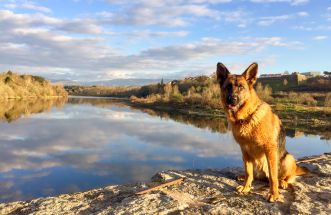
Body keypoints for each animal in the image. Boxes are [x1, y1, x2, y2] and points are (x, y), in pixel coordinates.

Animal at [217, 62, 308, 202]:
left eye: (241, 87)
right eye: (228, 87)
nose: (232, 99)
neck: (247, 118)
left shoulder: (269, 149)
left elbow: (273, 176)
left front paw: (274, 194)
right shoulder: (245, 150)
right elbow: (248, 172)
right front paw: (246, 188)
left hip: (288, 159)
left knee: (285, 177)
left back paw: (283, 182)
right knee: (253, 175)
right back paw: (243, 177)